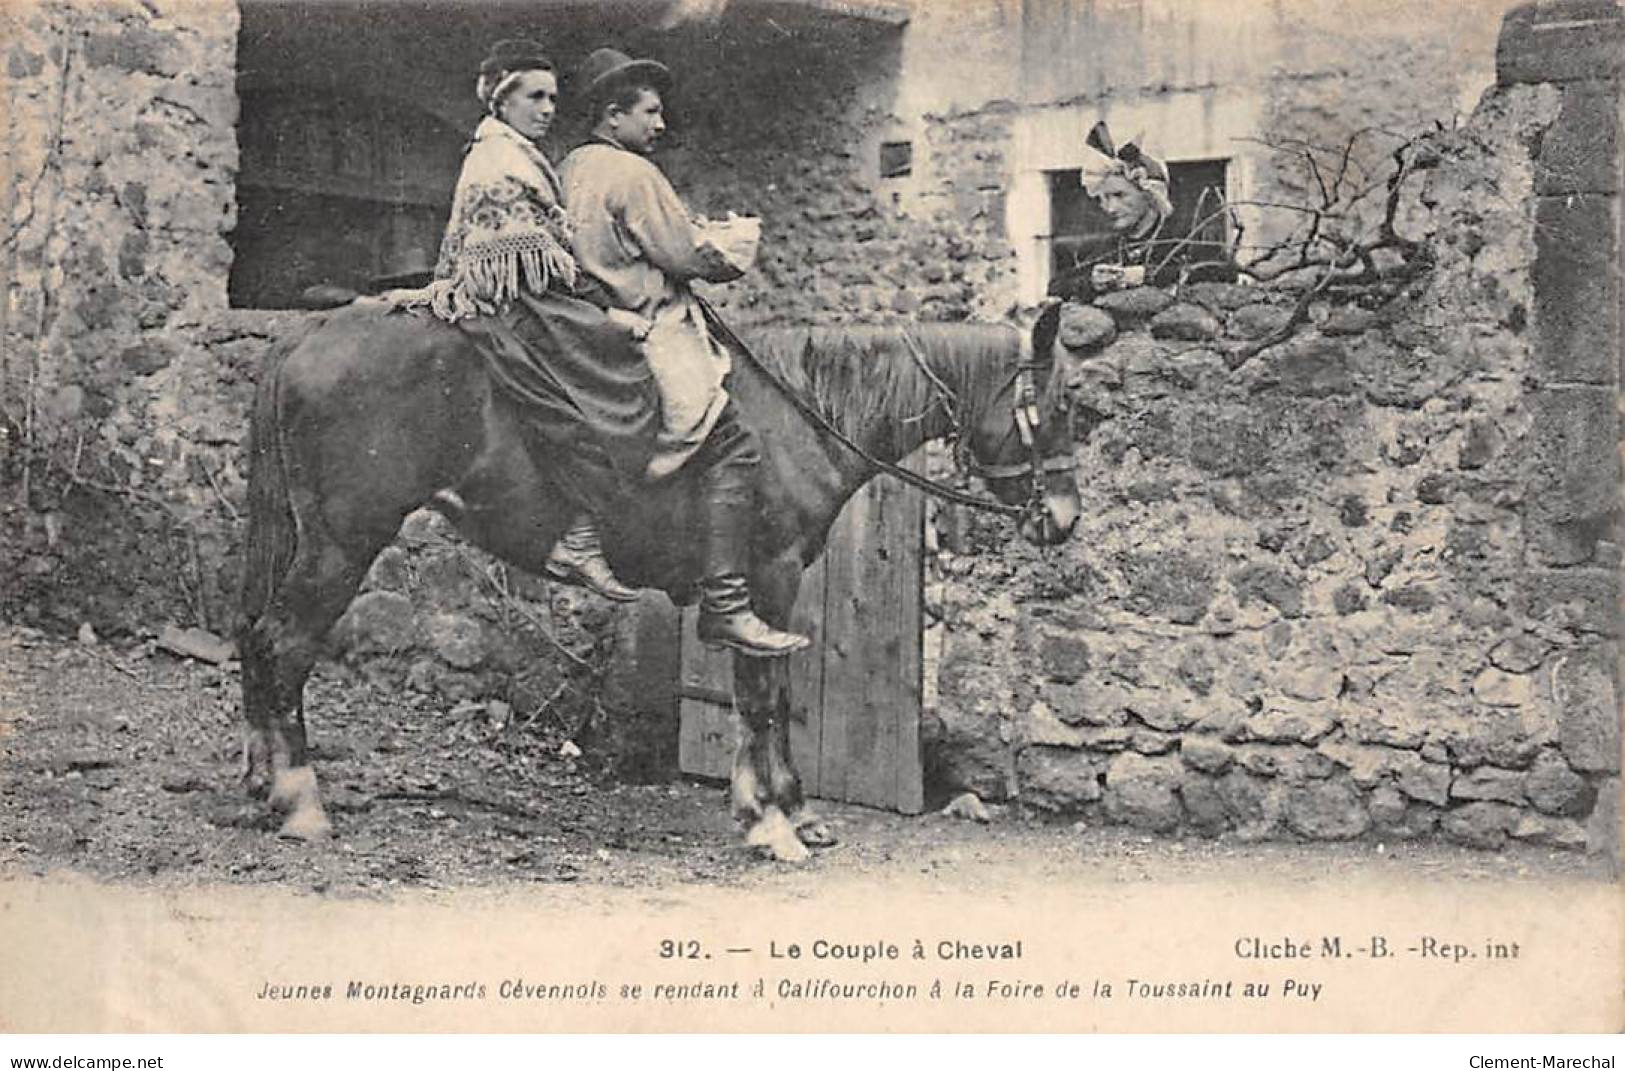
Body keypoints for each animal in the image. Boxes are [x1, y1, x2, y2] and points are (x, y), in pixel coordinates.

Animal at [237, 299, 1079, 864]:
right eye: (1062, 404)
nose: (1064, 518)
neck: (799, 412)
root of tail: (306, 333)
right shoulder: (766, 580)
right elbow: (762, 697)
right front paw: (772, 823)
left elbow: (765, 696)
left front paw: (783, 808)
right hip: (342, 545)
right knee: (284, 647)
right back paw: (302, 803)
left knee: (254, 639)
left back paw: (262, 782)